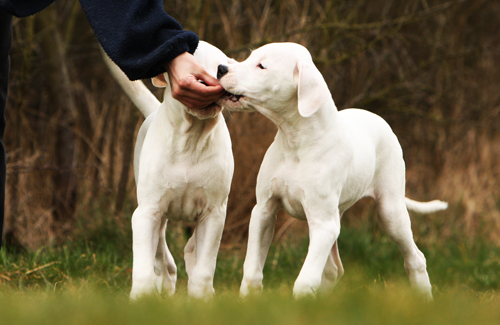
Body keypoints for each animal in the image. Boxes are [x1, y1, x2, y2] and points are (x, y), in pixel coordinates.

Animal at [103, 41, 234, 298]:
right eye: (195, 59)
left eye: (225, 62)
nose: (223, 70)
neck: (192, 137)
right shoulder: (147, 212)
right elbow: (144, 266)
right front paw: (142, 295)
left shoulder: (213, 214)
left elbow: (204, 268)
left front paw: (202, 295)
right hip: (154, 211)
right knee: (161, 250)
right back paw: (164, 278)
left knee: (189, 250)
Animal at [218, 42, 446, 298]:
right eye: (250, 57)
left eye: (261, 66)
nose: (221, 68)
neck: (295, 141)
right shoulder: (264, 211)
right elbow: (252, 270)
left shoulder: (323, 224)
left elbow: (305, 280)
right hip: (333, 217)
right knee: (334, 269)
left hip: (389, 211)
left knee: (415, 258)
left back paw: (424, 296)